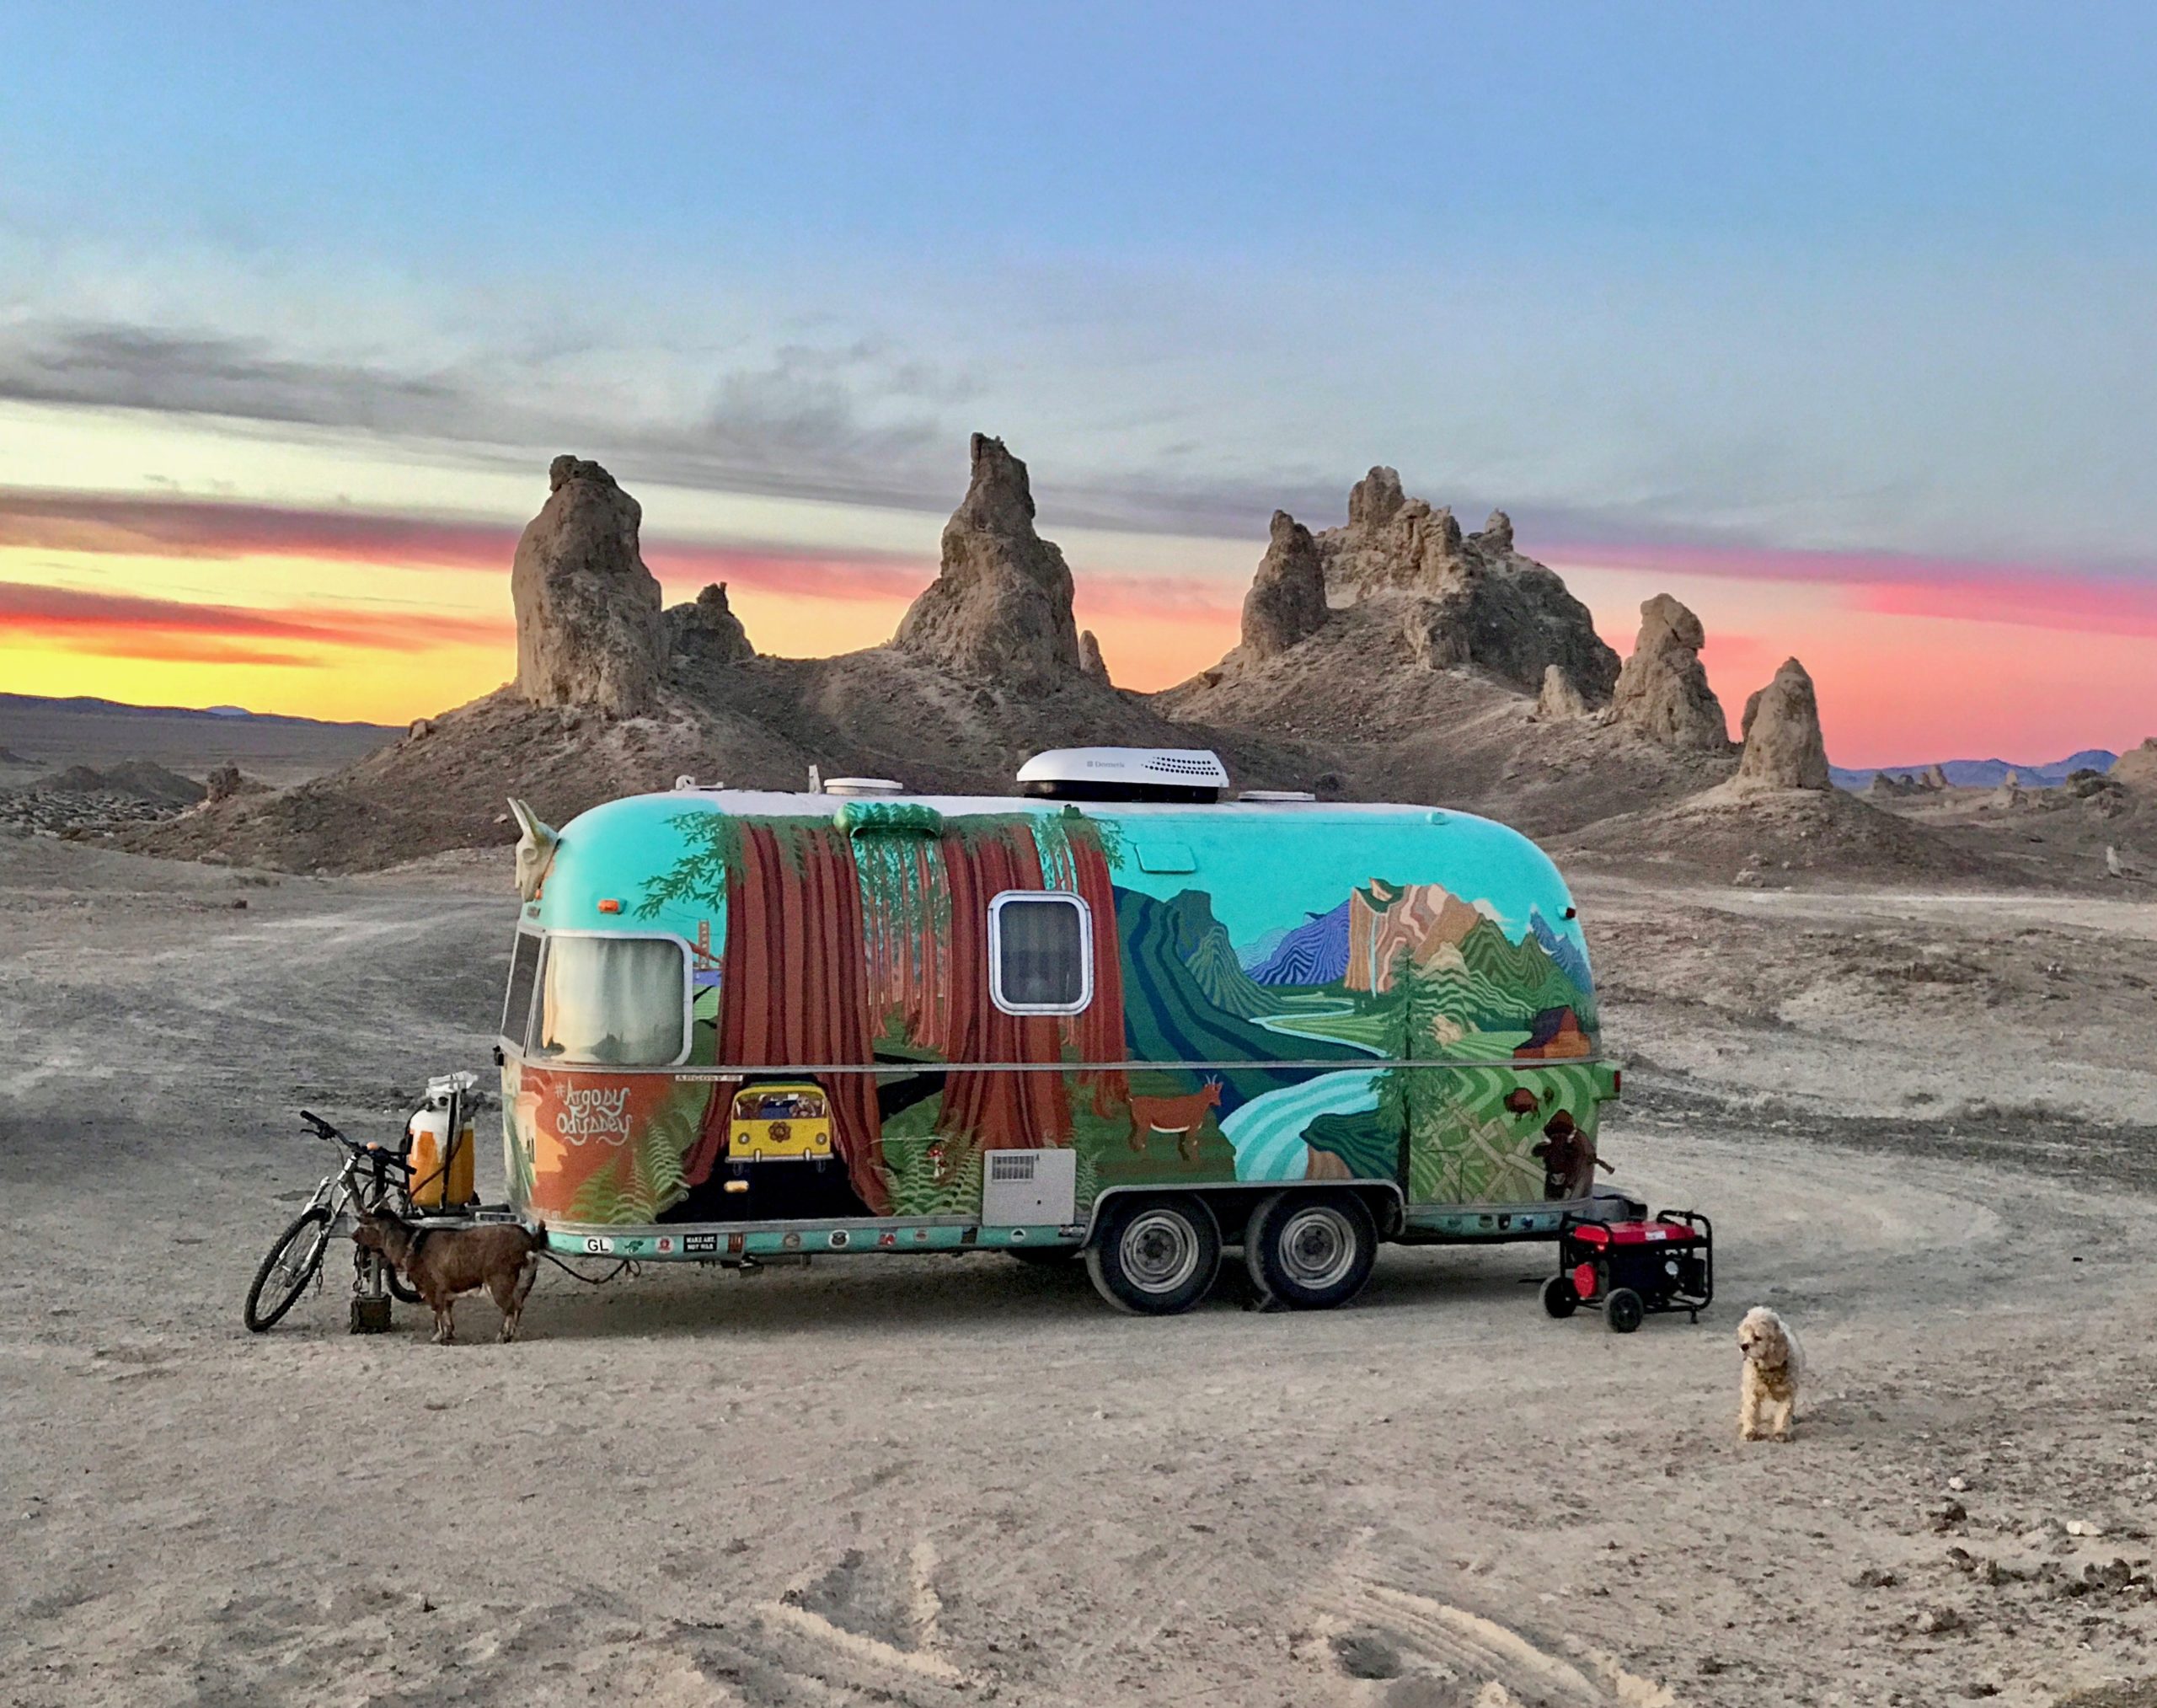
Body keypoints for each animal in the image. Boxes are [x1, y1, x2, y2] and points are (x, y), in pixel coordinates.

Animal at [1734, 1311, 1803, 1440]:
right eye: (1744, 1336)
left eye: (1757, 1337)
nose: (1743, 1346)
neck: (1768, 1369)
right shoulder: (1751, 1390)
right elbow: (1750, 1410)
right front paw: (1750, 1432)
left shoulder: (1787, 1392)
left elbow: (1784, 1413)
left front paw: (1781, 1432)